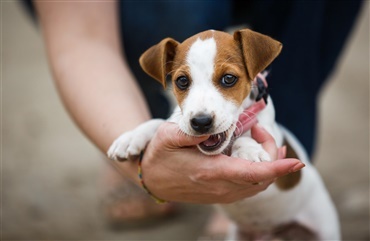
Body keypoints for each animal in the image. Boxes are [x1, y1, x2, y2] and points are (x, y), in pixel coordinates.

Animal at [107, 29, 342, 240]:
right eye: (182, 81)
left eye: (229, 78)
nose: (201, 122)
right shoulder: (178, 123)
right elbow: (158, 123)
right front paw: (130, 137)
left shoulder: (271, 135)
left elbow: (248, 136)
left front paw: (249, 151)